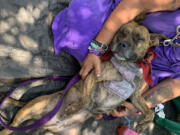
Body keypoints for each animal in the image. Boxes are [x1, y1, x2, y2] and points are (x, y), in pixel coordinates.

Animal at [0, 15, 166, 134]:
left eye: (140, 38)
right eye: (121, 32)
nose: (122, 44)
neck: (128, 66)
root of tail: (46, 121)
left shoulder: (136, 96)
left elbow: (150, 112)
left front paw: (143, 125)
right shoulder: (93, 76)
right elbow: (86, 100)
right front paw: (74, 108)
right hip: (29, 110)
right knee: (11, 126)